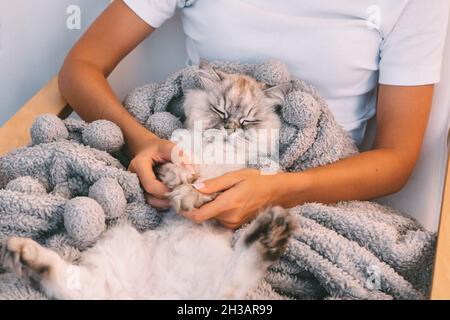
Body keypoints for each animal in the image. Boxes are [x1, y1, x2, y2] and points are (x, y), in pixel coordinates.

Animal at [0, 60, 298, 300]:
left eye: (248, 121)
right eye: (220, 111)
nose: (230, 128)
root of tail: (154, 295)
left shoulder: (228, 178)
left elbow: (203, 189)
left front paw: (186, 195)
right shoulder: (176, 151)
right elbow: (175, 166)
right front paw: (178, 177)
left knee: (232, 281)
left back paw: (272, 231)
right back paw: (21, 254)